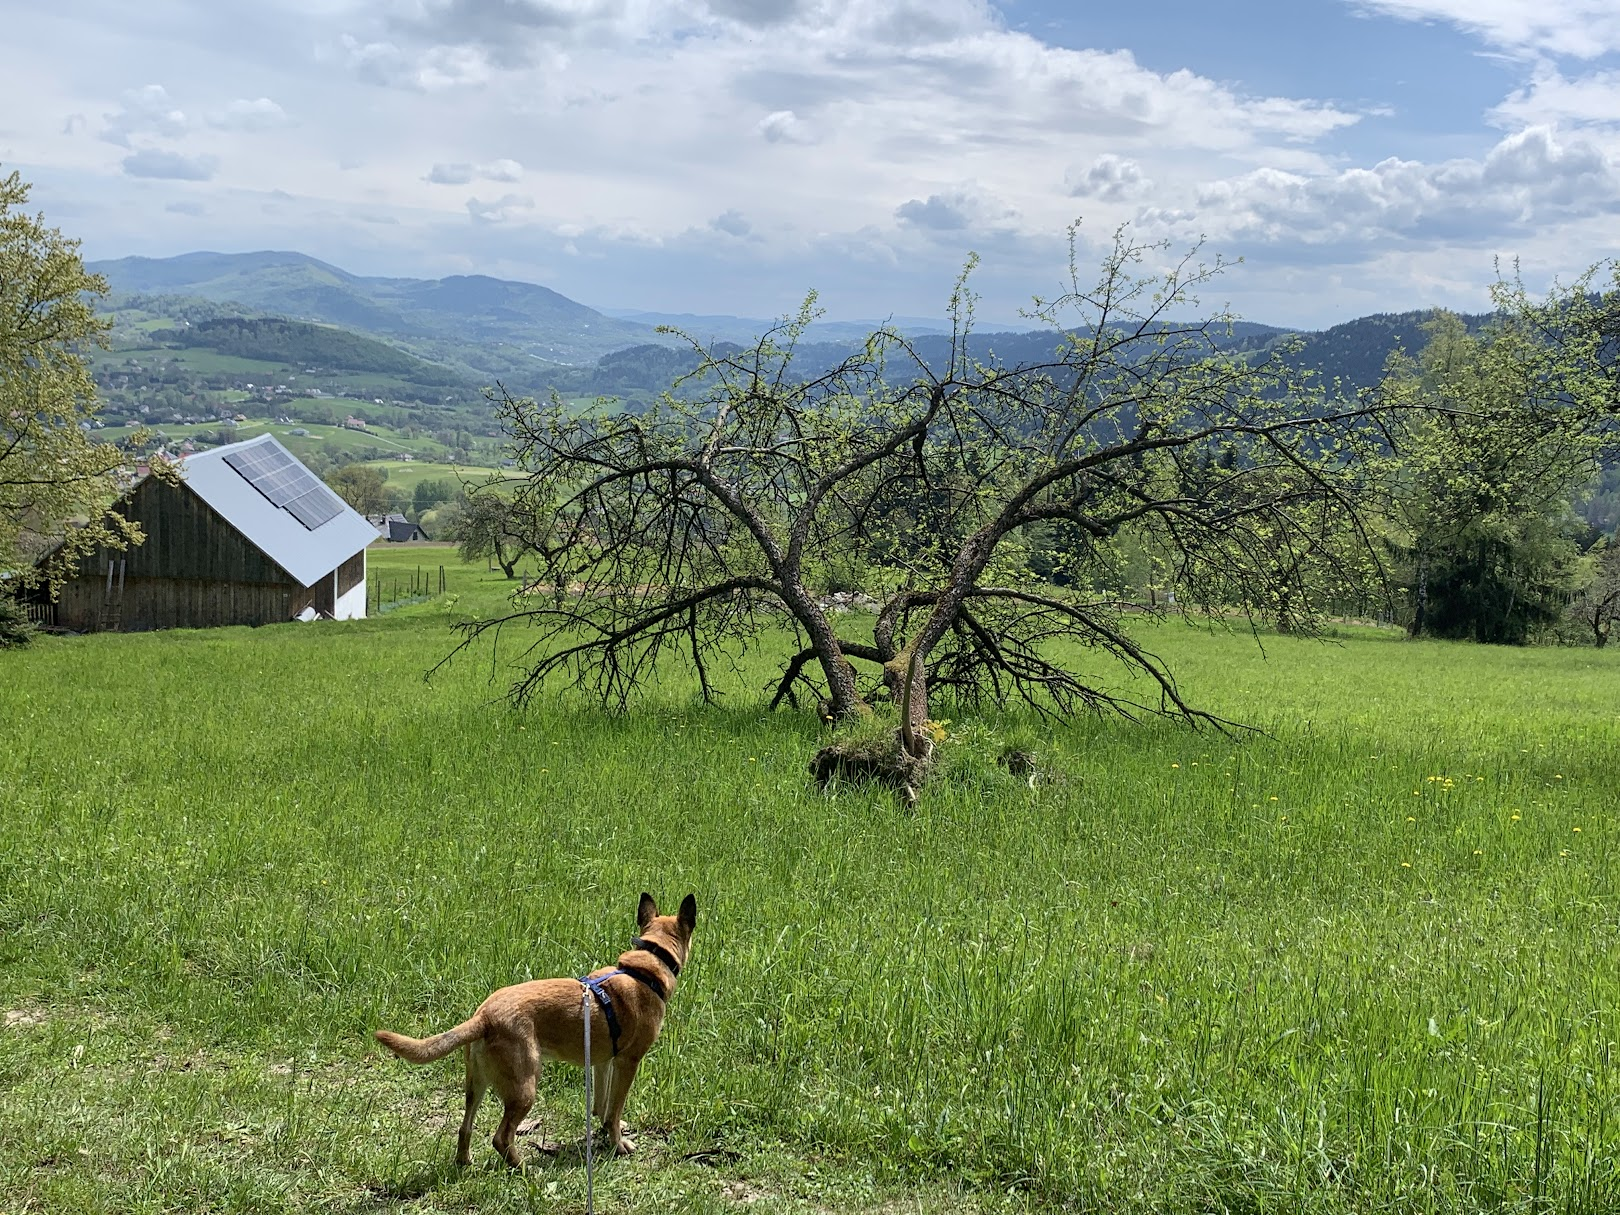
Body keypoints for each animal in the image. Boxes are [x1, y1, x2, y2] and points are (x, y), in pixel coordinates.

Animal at [375, 894, 699, 1172]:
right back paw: (523, 1169)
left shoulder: (603, 1062)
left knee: (465, 1126)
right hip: (525, 1087)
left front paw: (602, 1131)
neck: (646, 968)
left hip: (476, 1084)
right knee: (501, 1137)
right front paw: (618, 1144)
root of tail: (483, 1017)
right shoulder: (628, 1062)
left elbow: (602, 1106)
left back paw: (465, 1161)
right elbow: (615, 1110)